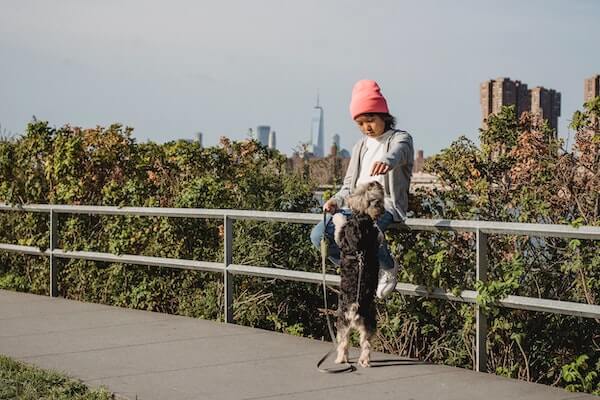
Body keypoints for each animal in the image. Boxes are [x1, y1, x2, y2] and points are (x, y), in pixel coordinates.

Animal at [330, 183, 386, 368]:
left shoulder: (341, 236)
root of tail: (354, 308)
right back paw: (361, 361)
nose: (376, 182)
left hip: (343, 322)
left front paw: (338, 216)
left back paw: (343, 359)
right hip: (364, 323)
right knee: (362, 343)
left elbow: (339, 225)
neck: (362, 218)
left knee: (345, 343)